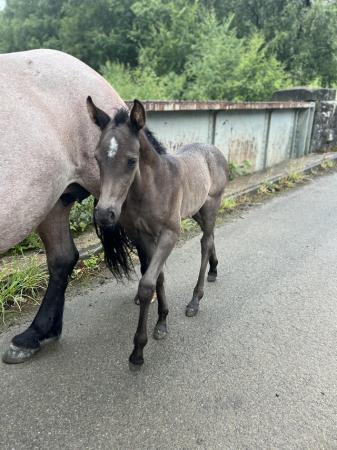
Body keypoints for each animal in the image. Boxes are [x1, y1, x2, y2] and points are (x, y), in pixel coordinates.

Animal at [86, 97, 228, 366]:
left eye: (132, 160)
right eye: (97, 158)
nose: (104, 214)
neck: (151, 188)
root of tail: (215, 150)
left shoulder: (170, 234)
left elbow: (147, 284)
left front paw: (138, 350)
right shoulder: (141, 236)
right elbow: (157, 276)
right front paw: (162, 321)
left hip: (211, 205)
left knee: (205, 242)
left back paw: (195, 300)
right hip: (195, 209)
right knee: (211, 236)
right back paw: (214, 270)